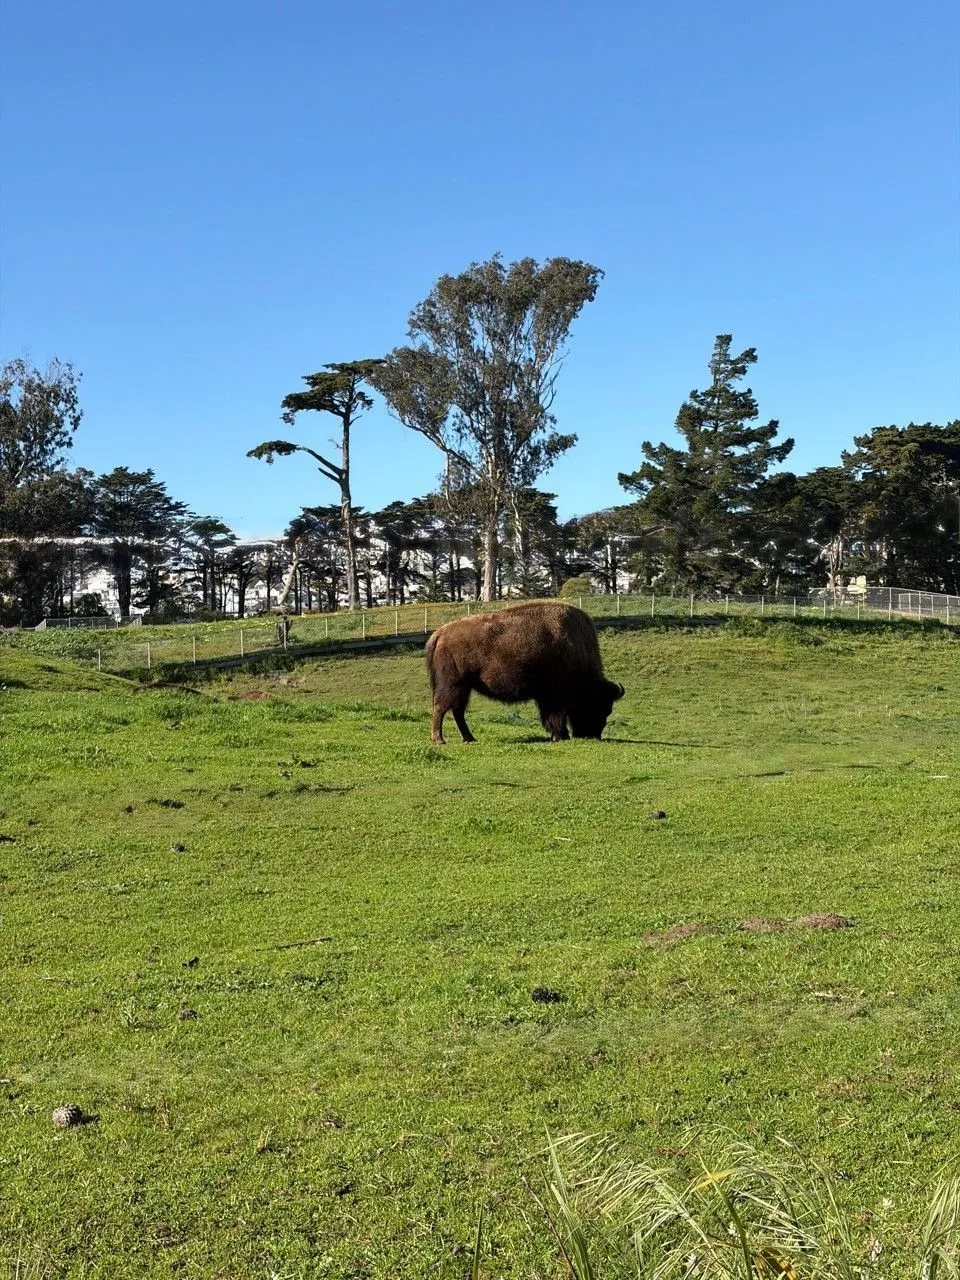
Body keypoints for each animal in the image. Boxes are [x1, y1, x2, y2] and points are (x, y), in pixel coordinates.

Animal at [425, 601, 624, 744]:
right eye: (602, 707)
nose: (593, 734)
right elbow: (556, 716)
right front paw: (561, 736)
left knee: (457, 711)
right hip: (453, 685)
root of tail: (440, 633)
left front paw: (556, 736)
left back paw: (469, 738)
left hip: (465, 687)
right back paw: (439, 740)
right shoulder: (555, 696)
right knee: (441, 707)